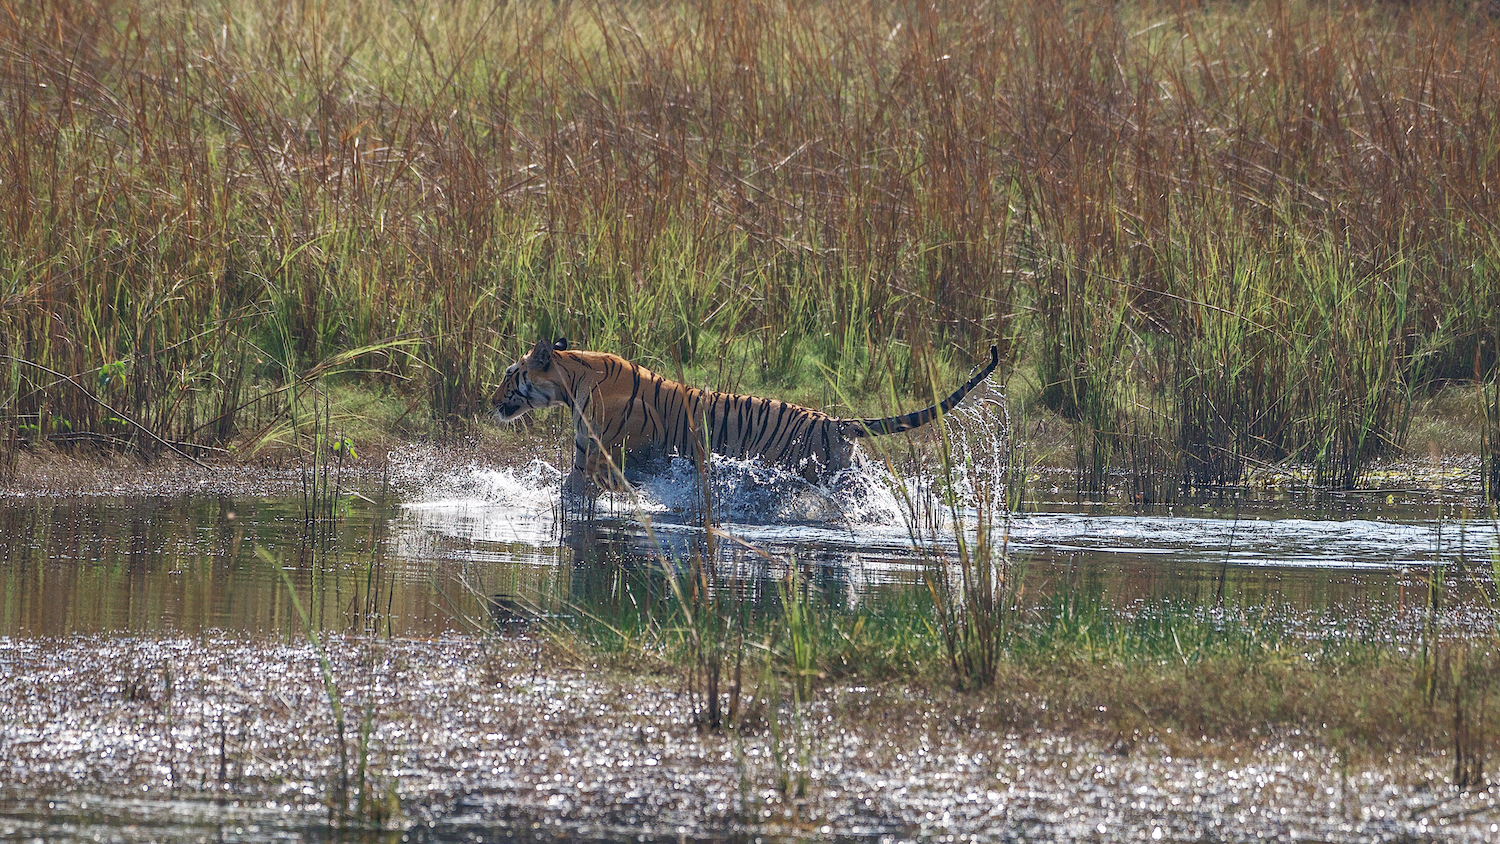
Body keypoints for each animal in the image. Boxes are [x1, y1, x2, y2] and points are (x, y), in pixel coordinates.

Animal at [493, 337, 1000, 496]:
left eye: (509, 375)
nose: (491, 400)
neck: (571, 385)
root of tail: (834, 421)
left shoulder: (606, 457)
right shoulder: (587, 454)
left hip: (819, 475)